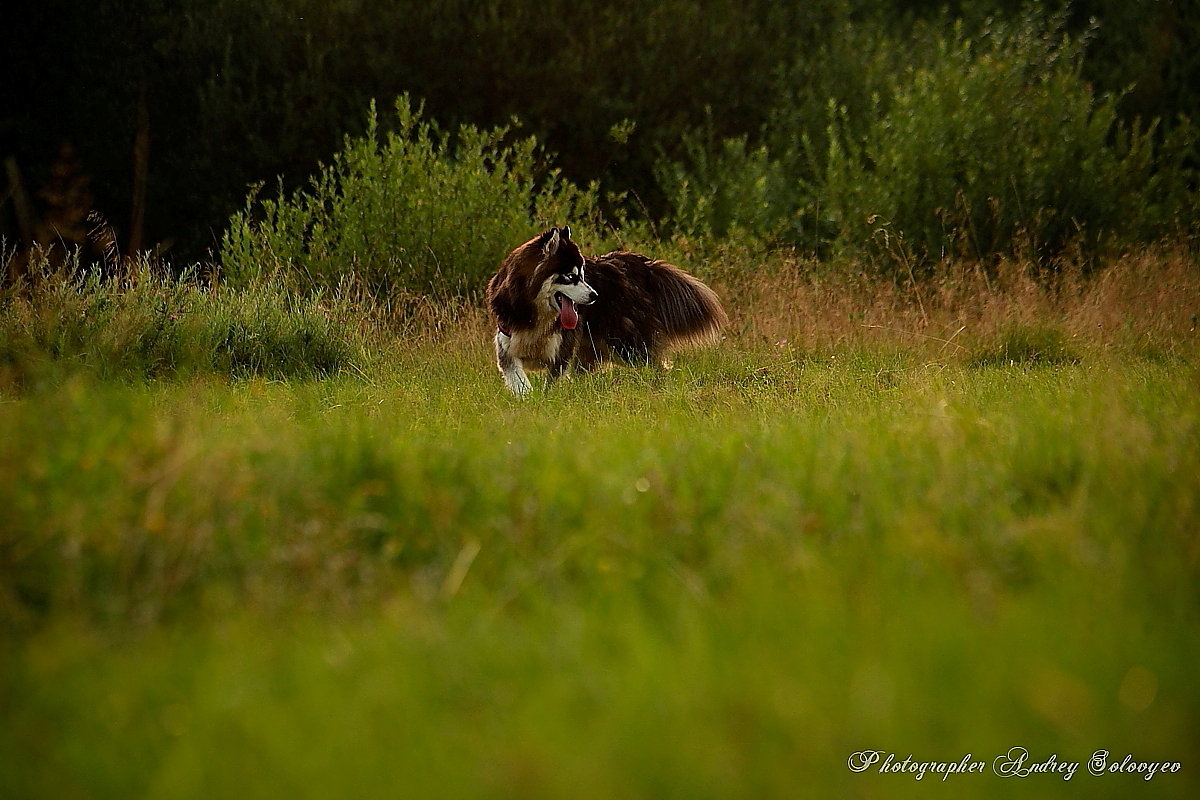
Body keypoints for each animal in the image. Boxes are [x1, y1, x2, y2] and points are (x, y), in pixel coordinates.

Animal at [482, 225, 724, 393]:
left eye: (583, 274)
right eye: (571, 276)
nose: (595, 296)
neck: (537, 313)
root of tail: (640, 265)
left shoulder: (562, 350)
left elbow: (551, 380)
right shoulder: (508, 346)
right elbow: (519, 380)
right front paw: (528, 397)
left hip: (627, 346)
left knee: (656, 366)